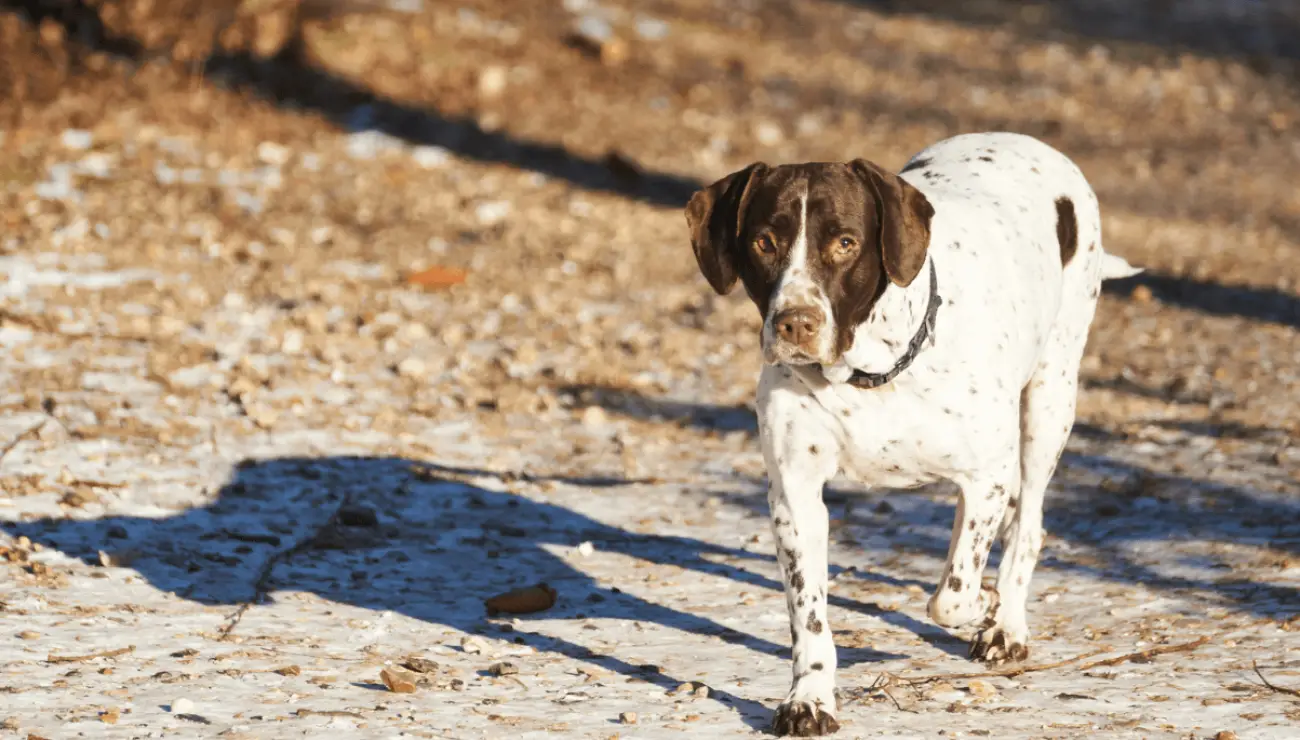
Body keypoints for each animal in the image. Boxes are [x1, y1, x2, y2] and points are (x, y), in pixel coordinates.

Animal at [686, 132, 1144, 733]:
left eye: (846, 243)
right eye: (764, 241)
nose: (795, 322)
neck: (869, 373)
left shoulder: (986, 474)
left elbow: (952, 595)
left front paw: (986, 607)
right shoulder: (795, 495)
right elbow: (810, 618)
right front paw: (810, 697)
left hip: (1051, 401)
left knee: (1028, 524)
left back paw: (1007, 623)